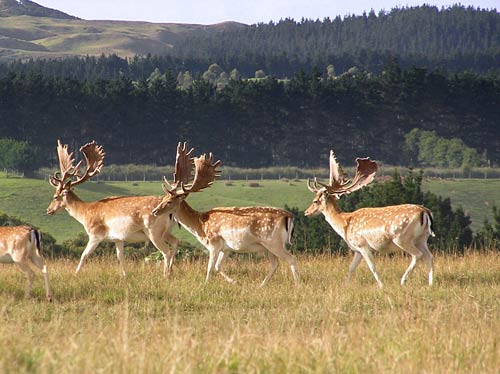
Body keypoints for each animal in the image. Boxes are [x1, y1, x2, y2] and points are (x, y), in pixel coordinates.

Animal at [45, 140, 178, 278]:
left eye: (55, 196)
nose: (48, 210)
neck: (85, 213)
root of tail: (172, 213)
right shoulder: (118, 238)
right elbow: (120, 257)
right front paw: (124, 275)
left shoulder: (95, 234)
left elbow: (84, 255)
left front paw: (75, 274)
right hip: (166, 231)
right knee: (175, 242)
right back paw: (171, 271)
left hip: (154, 232)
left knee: (166, 251)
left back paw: (165, 275)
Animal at [150, 142, 298, 286]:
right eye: (163, 198)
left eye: (169, 201)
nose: (155, 211)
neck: (200, 225)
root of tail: (289, 216)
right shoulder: (226, 248)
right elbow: (218, 267)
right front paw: (235, 282)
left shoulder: (214, 243)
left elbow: (210, 267)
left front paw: (205, 285)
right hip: (268, 246)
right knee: (275, 263)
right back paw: (261, 285)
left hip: (273, 242)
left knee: (291, 258)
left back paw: (298, 284)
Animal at [304, 150, 434, 288]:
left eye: (315, 201)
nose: (306, 212)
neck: (345, 224)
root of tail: (425, 211)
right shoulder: (357, 250)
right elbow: (351, 267)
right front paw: (345, 285)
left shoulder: (362, 245)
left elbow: (372, 266)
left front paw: (381, 285)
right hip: (421, 239)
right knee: (429, 256)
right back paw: (431, 283)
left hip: (402, 237)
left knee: (417, 255)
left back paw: (403, 281)